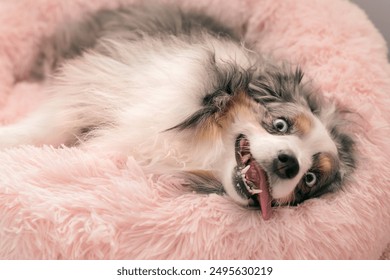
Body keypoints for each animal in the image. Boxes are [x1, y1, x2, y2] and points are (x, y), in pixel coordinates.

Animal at [0, 3, 354, 219]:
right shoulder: (98, 86)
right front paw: (9, 139)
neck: (204, 147)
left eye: (309, 179)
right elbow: (47, 126)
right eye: (281, 125)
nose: (289, 163)